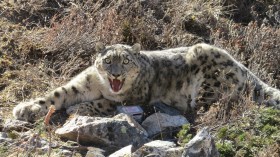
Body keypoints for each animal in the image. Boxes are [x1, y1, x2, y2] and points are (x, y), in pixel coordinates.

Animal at [13, 42, 280, 122]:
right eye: (108, 61)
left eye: (126, 61)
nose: (116, 75)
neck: (101, 86)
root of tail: (244, 67)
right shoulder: (82, 83)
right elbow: (57, 94)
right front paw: (25, 108)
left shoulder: (132, 98)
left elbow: (104, 103)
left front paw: (77, 108)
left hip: (211, 83)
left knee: (208, 108)